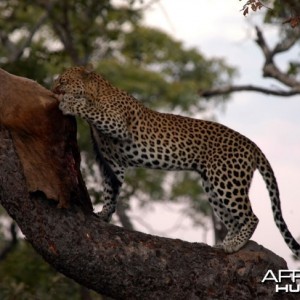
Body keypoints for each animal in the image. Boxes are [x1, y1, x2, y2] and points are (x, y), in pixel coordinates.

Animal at [52, 66, 300, 258]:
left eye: (63, 81)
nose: (54, 89)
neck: (98, 91)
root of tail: (252, 144)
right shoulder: (112, 163)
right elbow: (110, 191)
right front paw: (104, 214)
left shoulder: (118, 123)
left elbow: (90, 109)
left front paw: (67, 102)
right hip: (212, 185)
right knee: (233, 220)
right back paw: (225, 242)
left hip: (226, 180)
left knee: (251, 217)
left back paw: (234, 245)